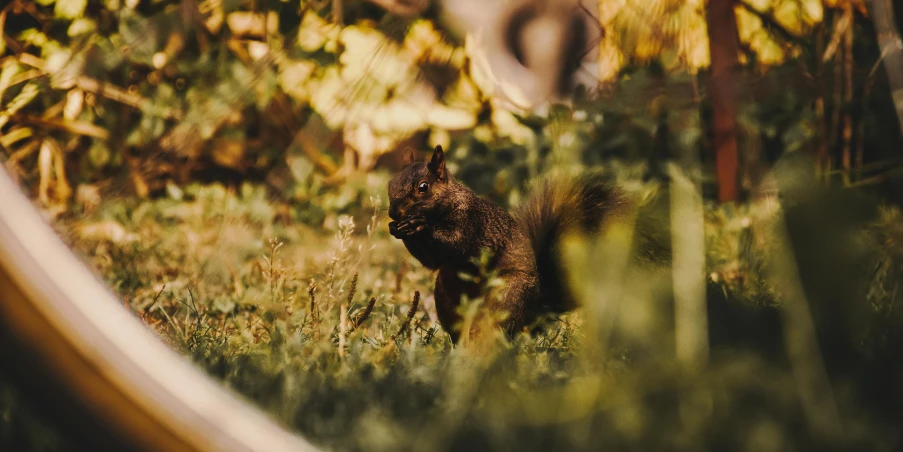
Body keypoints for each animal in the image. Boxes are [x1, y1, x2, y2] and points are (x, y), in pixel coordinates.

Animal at [386, 145, 656, 342]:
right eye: (390, 184)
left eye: (423, 187)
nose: (393, 213)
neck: (448, 203)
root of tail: (535, 308)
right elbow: (431, 261)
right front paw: (397, 229)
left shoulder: (471, 223)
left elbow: (455, 243)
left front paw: (419, 224)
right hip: (446, 298)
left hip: (508, 297)